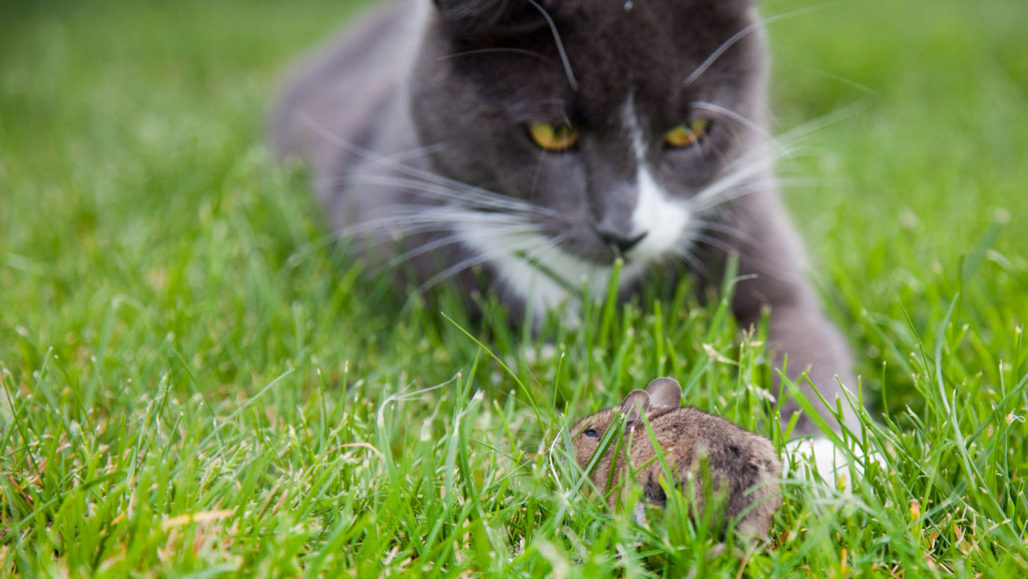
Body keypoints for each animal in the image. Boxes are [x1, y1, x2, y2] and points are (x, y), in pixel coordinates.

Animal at [269, 0, 863, 444]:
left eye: (689, 131)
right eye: (552, 133)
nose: (624, 232)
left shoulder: (744, 216)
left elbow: (797, 331)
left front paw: (825, 461)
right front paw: (538, 356)